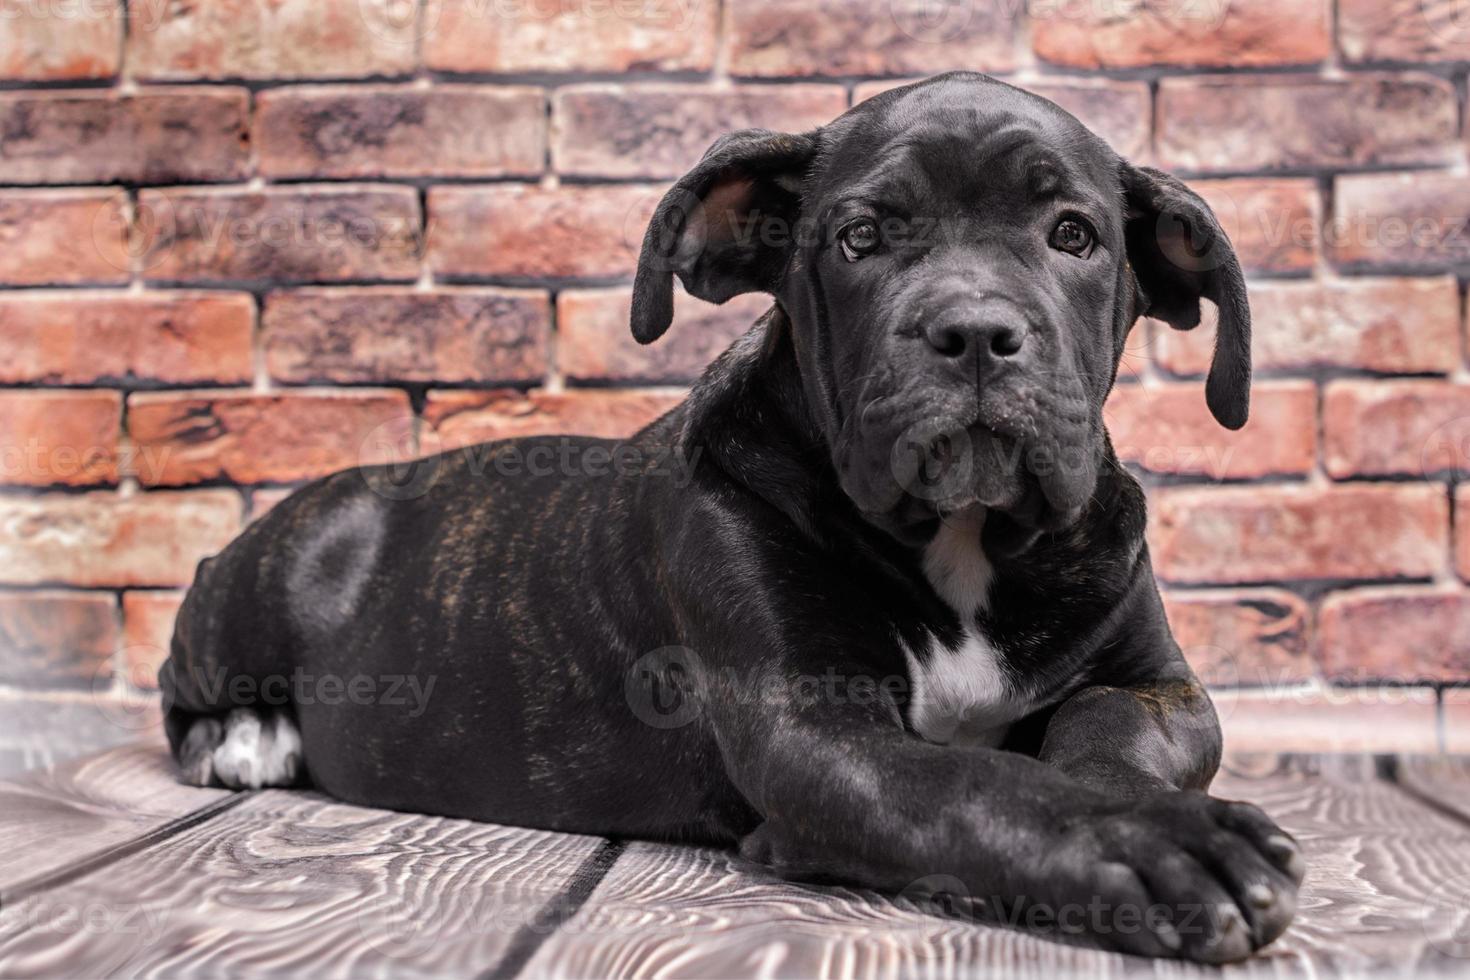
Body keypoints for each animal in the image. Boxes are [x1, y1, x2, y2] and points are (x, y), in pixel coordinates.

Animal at [163, 76, 1299, 963]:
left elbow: (1103, 731)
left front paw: (1159, 809)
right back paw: (243, 740)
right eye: (860, 238)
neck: (963, 540)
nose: (975, 330)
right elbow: (980, 782)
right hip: (257, 579)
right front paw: (1156, 844)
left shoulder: (1158, 683)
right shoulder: (815, 729)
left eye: (1074, 236)